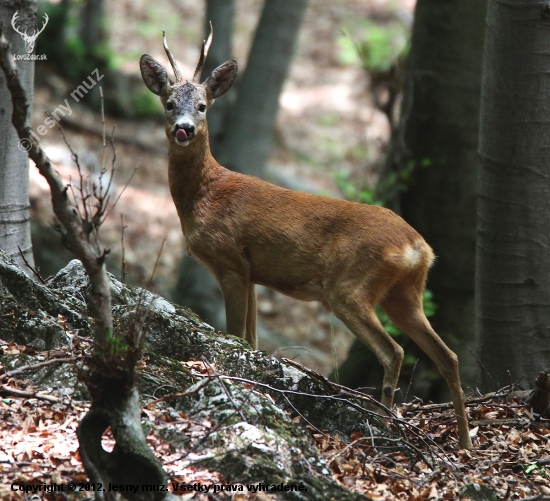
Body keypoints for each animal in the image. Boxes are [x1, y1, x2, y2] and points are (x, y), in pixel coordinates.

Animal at [139, 28, 474, 450]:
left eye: (202, 106)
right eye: (169, 104)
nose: (183, 128)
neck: (205, 193)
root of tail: (420, 248)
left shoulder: (229, 260)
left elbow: (235, 334)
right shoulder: (251, 271)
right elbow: (251, 339)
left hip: (349, 285)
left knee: (393, 350)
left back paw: (383, 425)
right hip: (405, 294)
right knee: (448, 356)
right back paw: (464, 442)